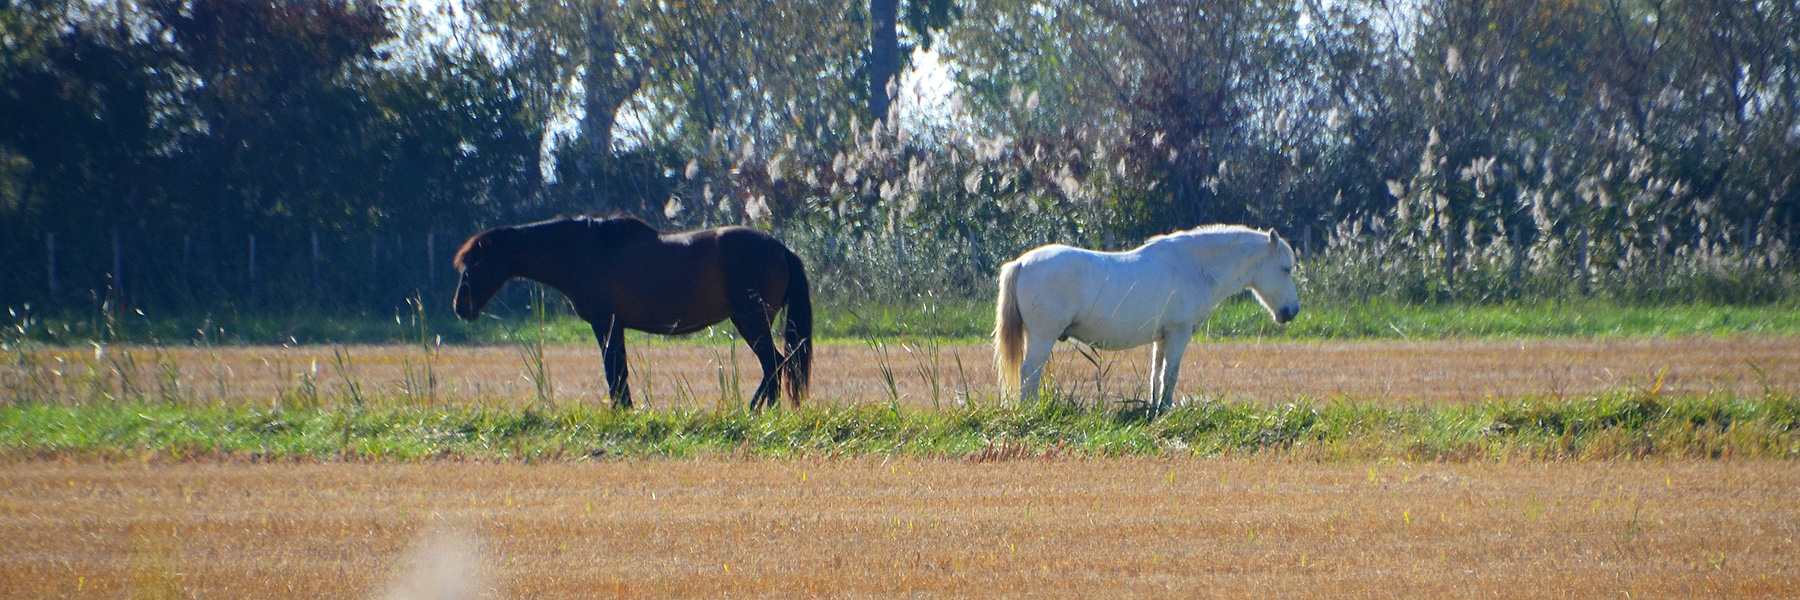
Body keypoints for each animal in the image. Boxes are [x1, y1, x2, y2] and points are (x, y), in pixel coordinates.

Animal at [450, 213, 817, 407]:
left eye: (474, 264)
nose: (460, 307)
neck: (584, 252)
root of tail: (781, 249)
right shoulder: (615, 325)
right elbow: (619, 371)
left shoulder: (605, 323)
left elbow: (614, 371)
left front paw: (620, 410)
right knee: (776, 365)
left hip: (751, 320)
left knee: (774, 364)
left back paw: (756, 410)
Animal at [993, 224, 1303, 407]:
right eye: (1285, 269)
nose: (1292, 311)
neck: (1193, 265)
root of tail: (1021, 262)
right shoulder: (1179, 333)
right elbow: (1170, 374)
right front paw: (1165, 410)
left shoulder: (1162, 337)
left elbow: (1156, 374)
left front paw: (1154, 408)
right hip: (1043, 338)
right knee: (1029, 373)